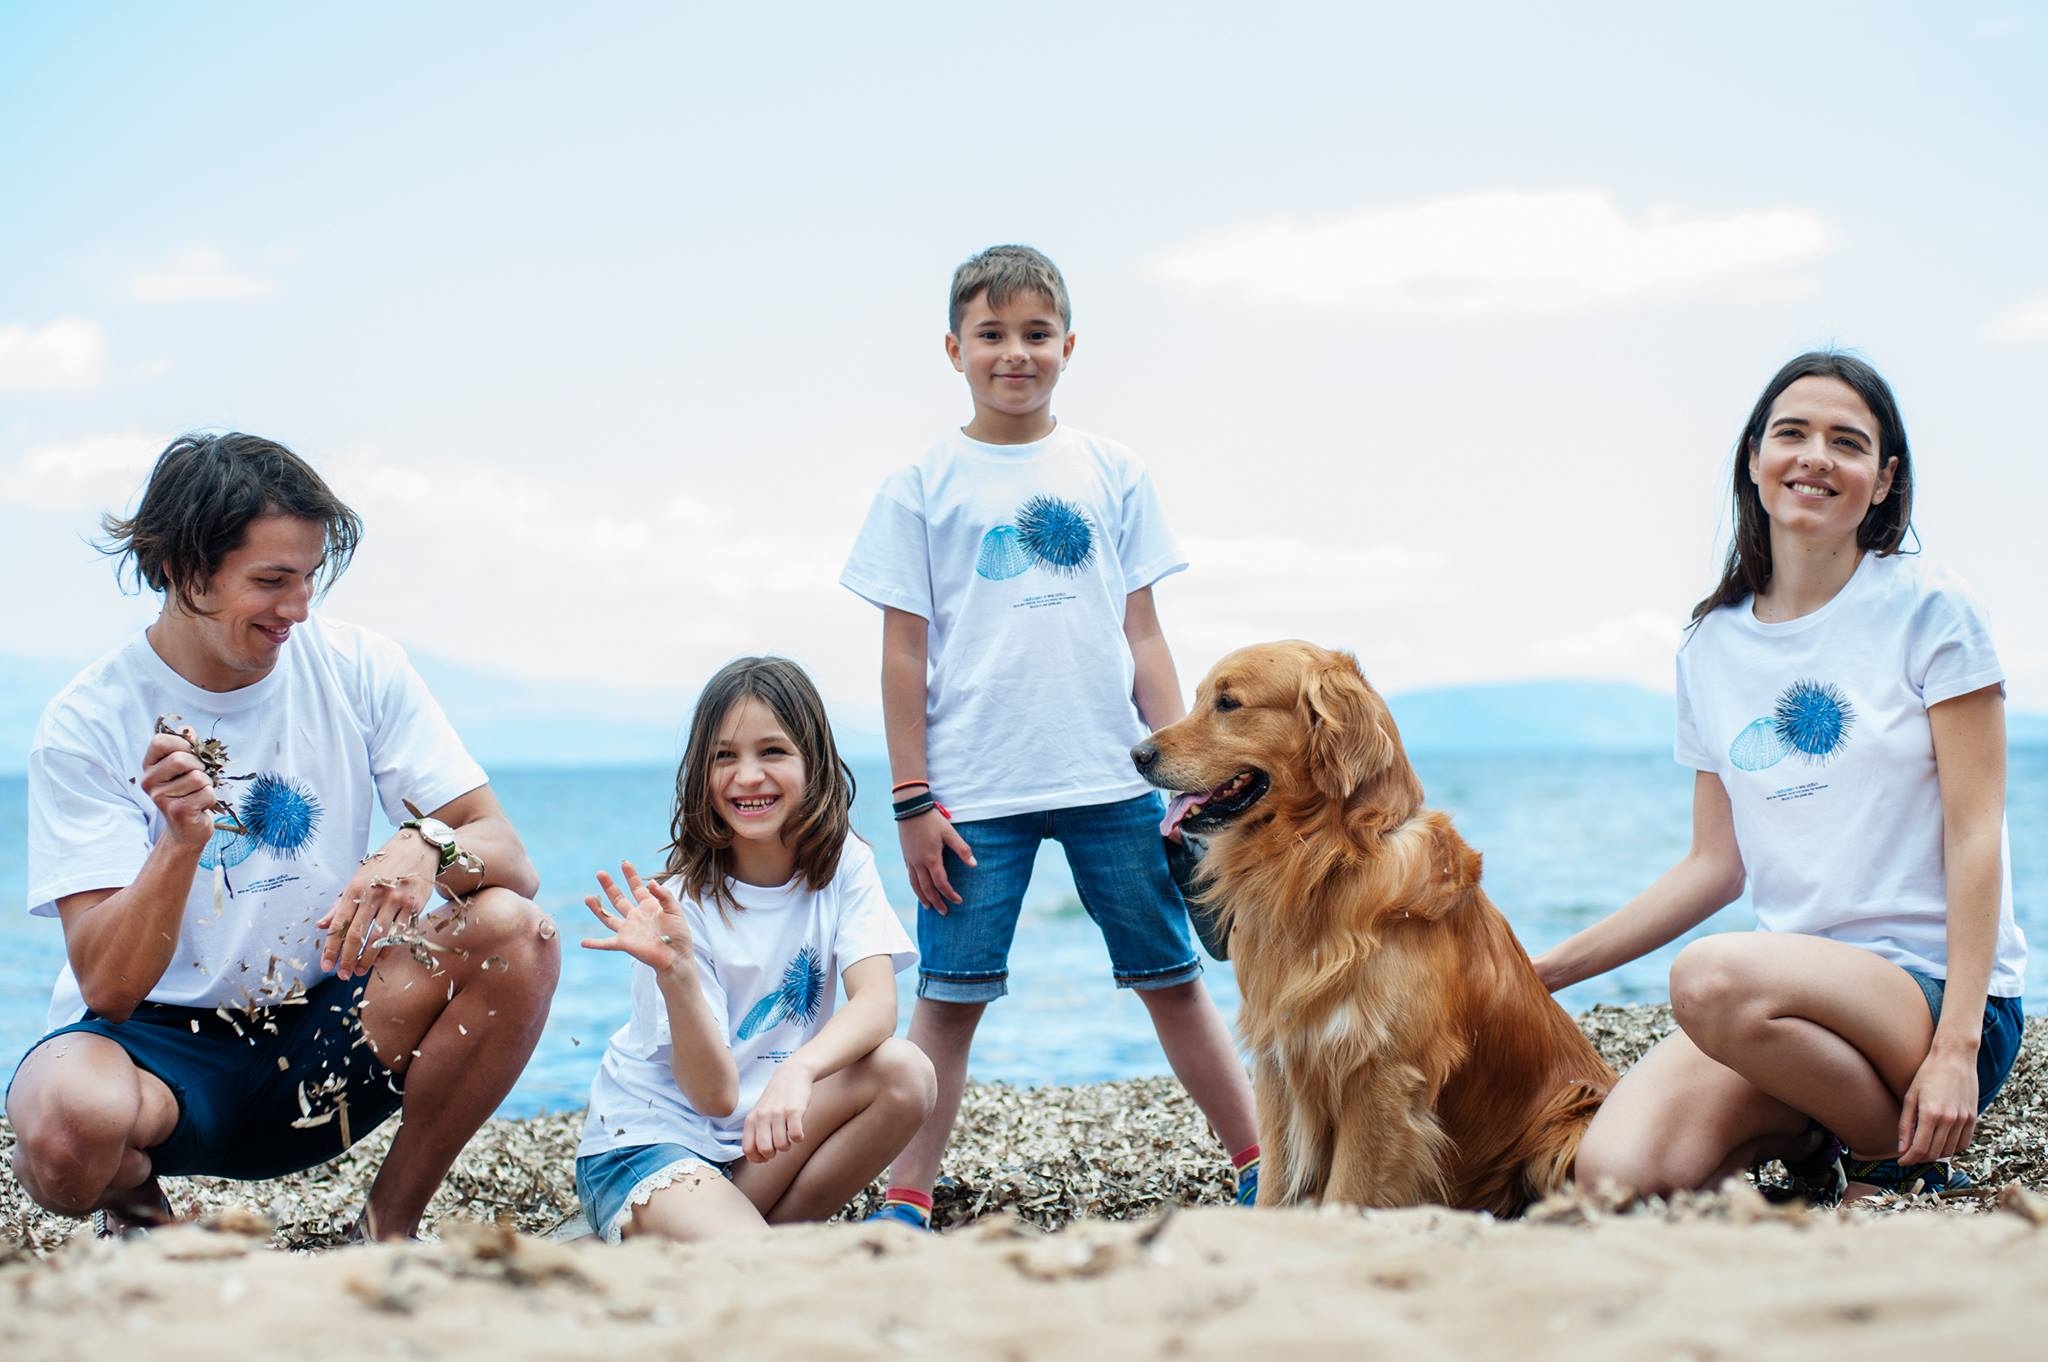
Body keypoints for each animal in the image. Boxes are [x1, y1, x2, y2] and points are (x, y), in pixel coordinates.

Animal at [1130, 643, 1605, 1212]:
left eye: (1228, 703)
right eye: (1198, 697)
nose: (1135, 754)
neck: (1324, 862)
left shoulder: (1380, 1074)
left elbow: (1348, 1192)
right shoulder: (1279, 1062)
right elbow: (1274, 1186)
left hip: (1570, 1124)